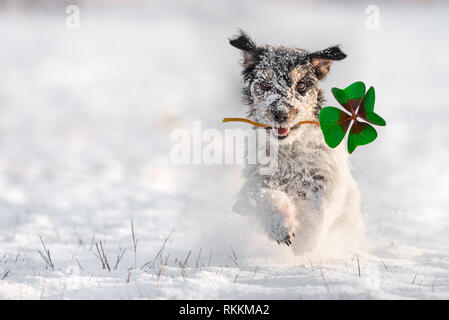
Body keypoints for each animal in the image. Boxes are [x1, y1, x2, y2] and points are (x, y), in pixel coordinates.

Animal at [229, 30, 362, 255]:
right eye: (265, 84)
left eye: (301, 85)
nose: (280, 114)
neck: (290, 150)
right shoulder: (256, 182)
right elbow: (265, 197)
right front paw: (282, 226)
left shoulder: (327, 180)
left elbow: (318, 211)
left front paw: (305, 241)